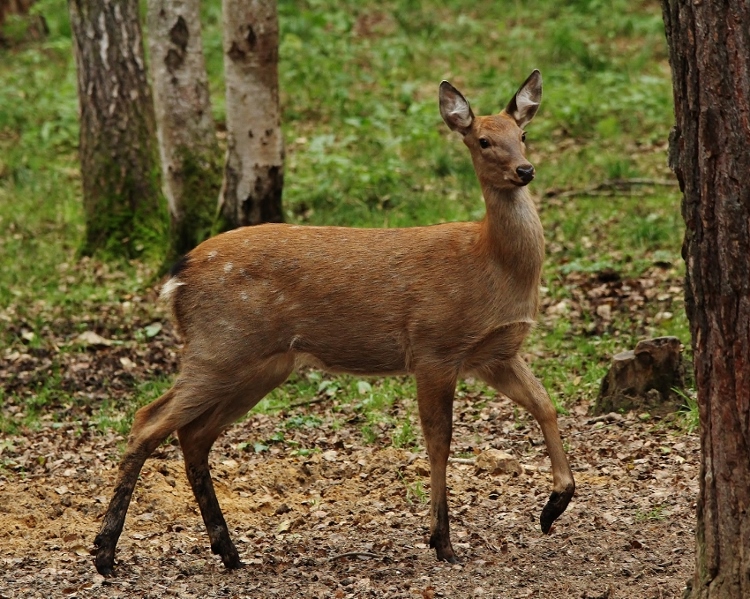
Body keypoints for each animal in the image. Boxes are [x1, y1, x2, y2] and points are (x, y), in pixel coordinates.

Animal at [94, 70, 576, 576]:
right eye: (483, 140)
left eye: (523, 135)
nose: (525, 170)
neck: (491, 264)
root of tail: (177, 276)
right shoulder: (433, 347)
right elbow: (439, 440)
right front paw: (441, 540)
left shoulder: (494, 354)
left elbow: (545, 404)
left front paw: (554, 506)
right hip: (219, 346)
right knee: (148, 420)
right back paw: (106, 553)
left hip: (261, 363)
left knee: (193, 434)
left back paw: (227, 550)